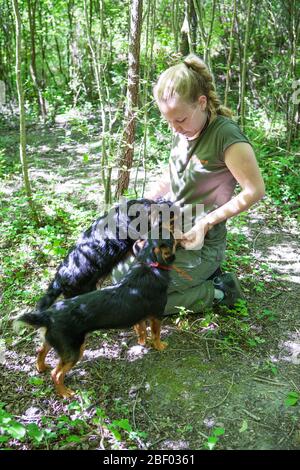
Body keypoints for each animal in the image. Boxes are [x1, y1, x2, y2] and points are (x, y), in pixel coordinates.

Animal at [17, 233, 176, 398]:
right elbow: (156, 334)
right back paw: (65, 393)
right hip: (74, 351)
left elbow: (141, 330)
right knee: (56, 374)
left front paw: (142, 342)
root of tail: (48, 315)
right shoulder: (157, 315)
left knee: (41, 351)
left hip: (55, 342)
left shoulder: (139, 317)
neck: (148, 265)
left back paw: (41, 367)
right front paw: (160, 346)